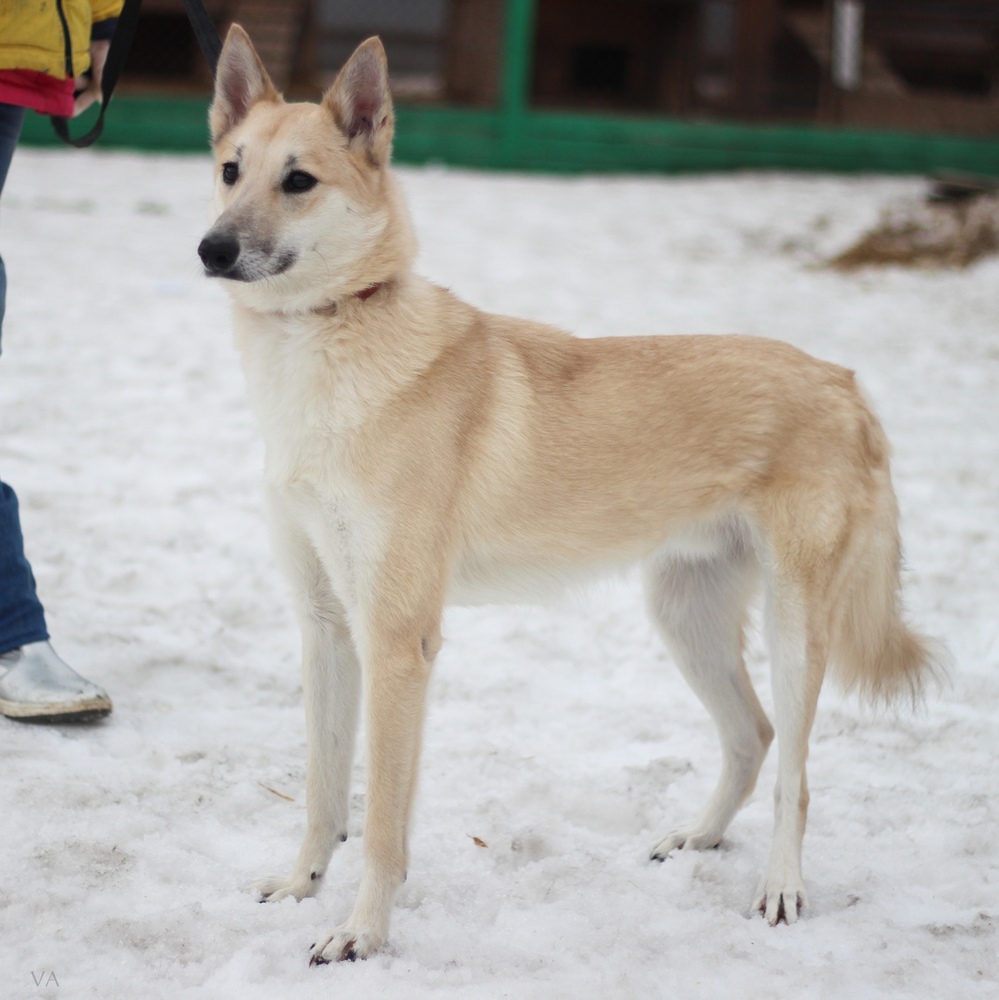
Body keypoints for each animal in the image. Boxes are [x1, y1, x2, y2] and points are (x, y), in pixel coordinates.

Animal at [199, 23, 940, 960]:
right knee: (753, 737)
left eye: (298, 181)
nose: (211, 250)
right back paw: (696, 837)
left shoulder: (397, 642)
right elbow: (324, 792)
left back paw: (779, 888)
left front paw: (361, 935)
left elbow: (378, 826)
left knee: (796, 775)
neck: (329, 339)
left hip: (795, 630)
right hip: (684, 615)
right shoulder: (327, 626)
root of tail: (845, 383)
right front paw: (301, 886)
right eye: (231, 170)